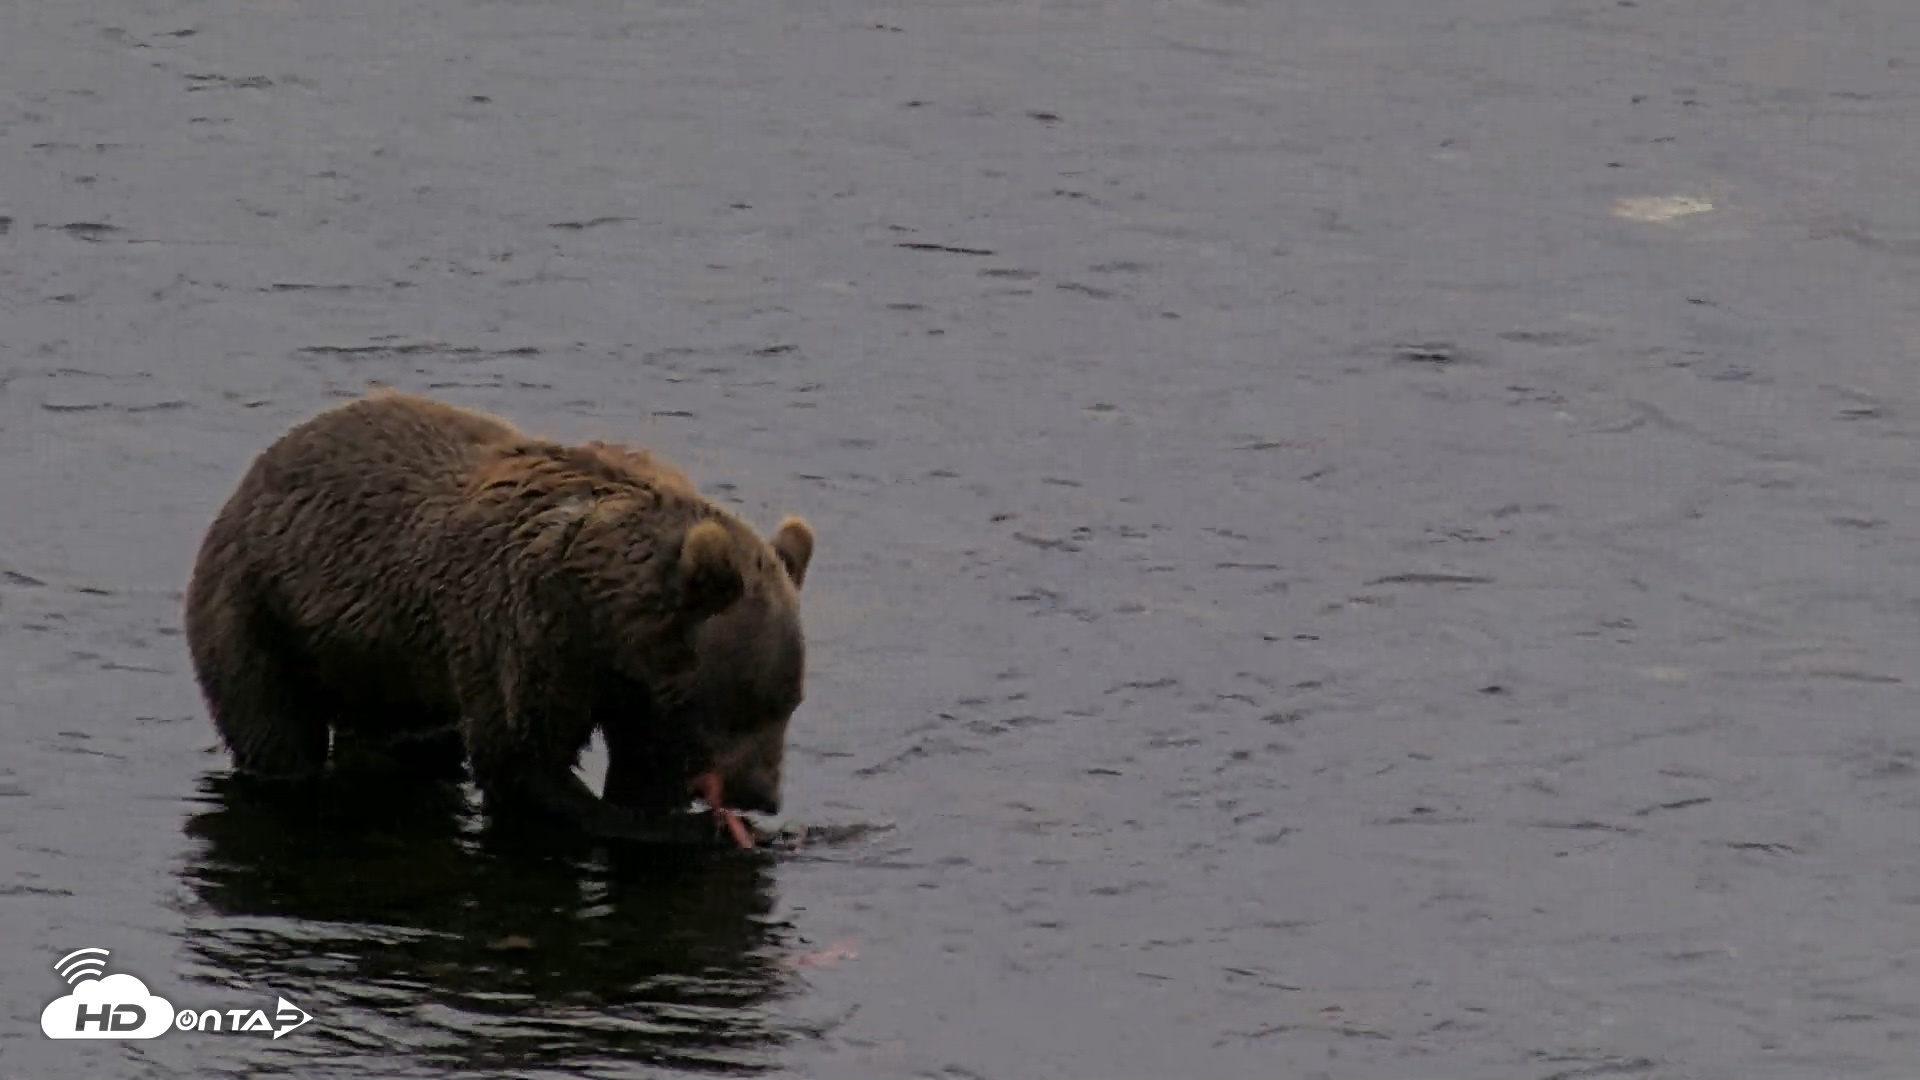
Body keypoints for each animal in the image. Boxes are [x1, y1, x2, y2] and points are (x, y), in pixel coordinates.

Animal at [182, 389, 814, 846]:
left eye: (790, 704)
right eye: (747, 702)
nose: (764, 795)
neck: (603, 613)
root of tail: (249, 479)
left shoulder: (637, 686)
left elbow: (643, 762)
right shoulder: (523, 628)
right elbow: (520, 757)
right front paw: (679, 827)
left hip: (378, 656)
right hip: (258, 608)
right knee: (273, 725)